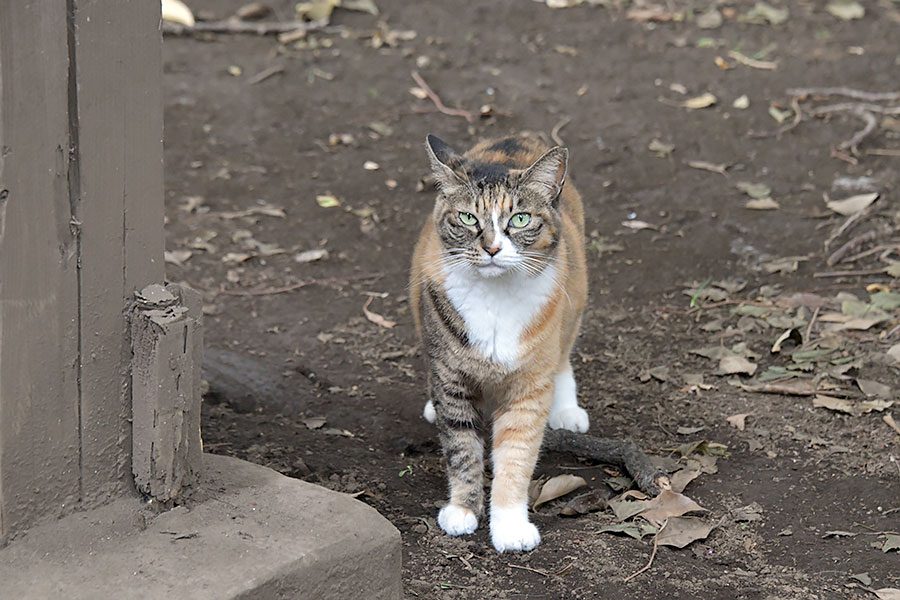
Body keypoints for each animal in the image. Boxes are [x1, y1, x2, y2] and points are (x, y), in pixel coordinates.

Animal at [410, 132, 592, 552]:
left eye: (520, 218)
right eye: (467, 218)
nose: (492, 248)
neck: (494, 298)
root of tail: (523, 136)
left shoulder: (529, 386)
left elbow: (516, 454)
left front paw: (509, 526)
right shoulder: (452, 379)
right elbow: (462, 447)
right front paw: (462, 510)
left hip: (575, 300)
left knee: (564, 358)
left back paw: (567, 410)